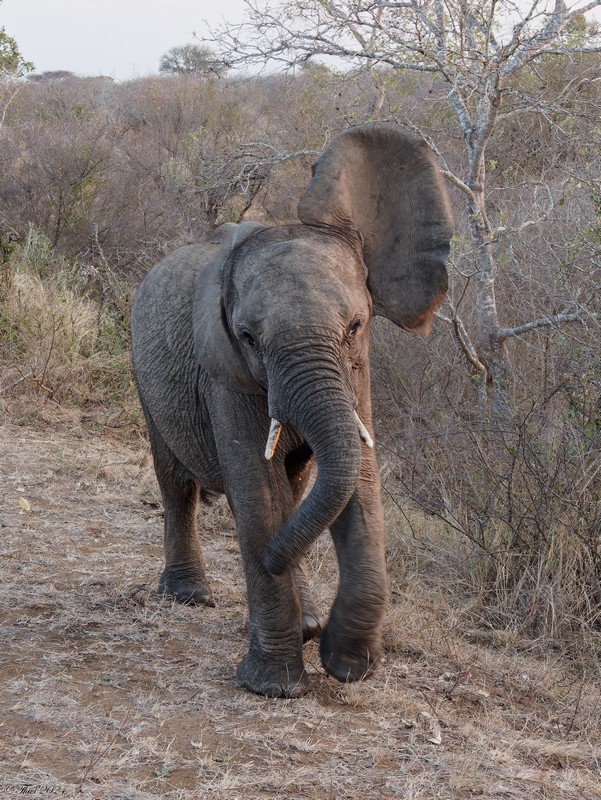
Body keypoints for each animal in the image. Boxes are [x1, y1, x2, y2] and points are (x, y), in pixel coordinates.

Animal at [131, 122, 450, 696]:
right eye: (249, 338)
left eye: (354, 326)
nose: (274, 558)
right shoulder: (224, 371)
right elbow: (257, 489)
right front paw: (275, 687)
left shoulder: (358, 370)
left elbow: (358, 481)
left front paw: (346, 662)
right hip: (145, 377)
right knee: (178, 483)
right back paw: (192, 597)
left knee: (295, 485)